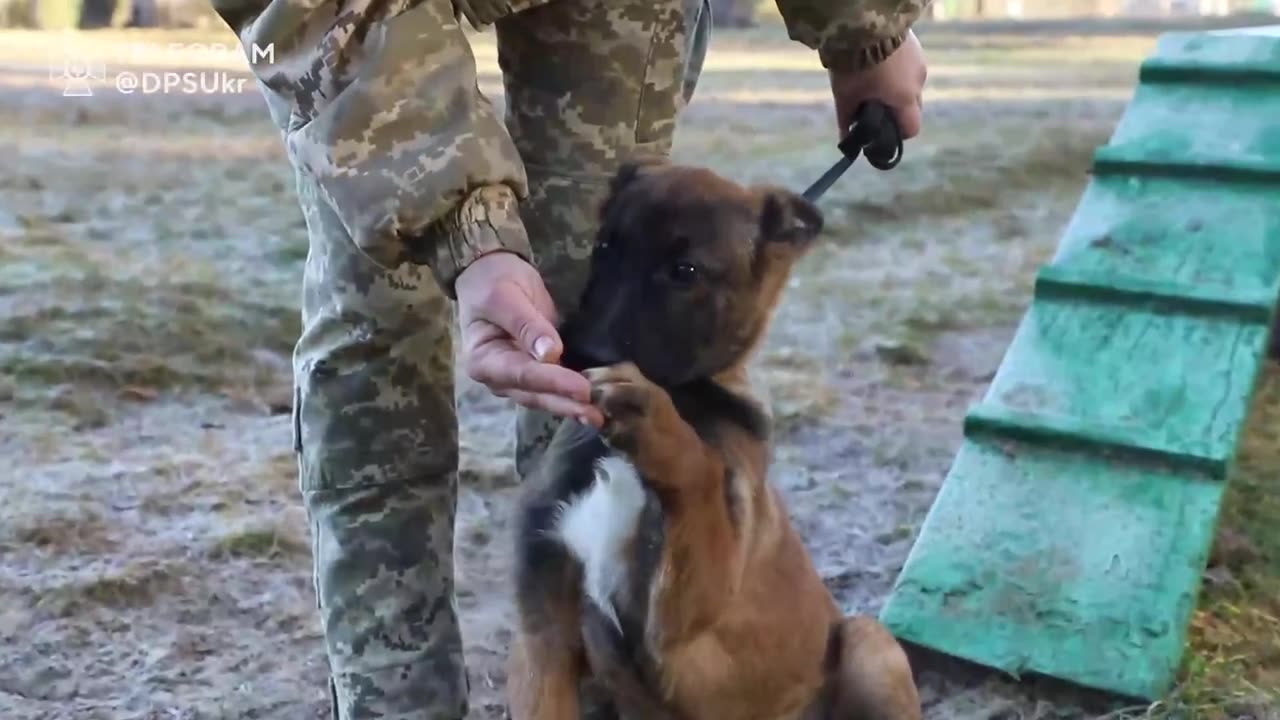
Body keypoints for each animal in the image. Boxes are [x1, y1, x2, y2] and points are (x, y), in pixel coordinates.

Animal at [501, 158, 921, 717]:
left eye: (685, 272)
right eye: (605, 247)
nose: (582, 354)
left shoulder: (687, 614)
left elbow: (698, 474)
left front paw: (657, 423)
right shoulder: (541, 636)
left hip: (868, 642)